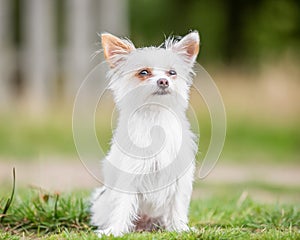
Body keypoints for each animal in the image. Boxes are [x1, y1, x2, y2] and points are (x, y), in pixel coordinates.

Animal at [90, 30, 200, 236]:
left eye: (172, 73)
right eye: (143, 72)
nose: (163, 81)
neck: (155, 116)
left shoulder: (179, 178)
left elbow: (177, 205)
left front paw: (180, 228)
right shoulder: (129, 176)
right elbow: (122, 205)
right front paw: (115, 230)